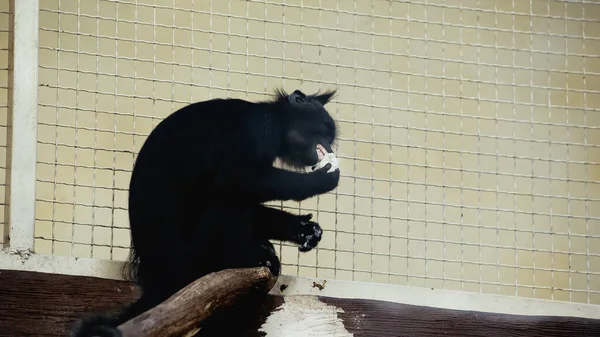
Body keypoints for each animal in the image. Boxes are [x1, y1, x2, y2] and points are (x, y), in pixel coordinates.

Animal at [68, 88, 340, 334]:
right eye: (325, 130)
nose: (328, 146)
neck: (275, 116)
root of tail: (159, 276)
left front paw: (302, 229)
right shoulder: (262, 128)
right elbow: (236, 178)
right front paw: (322, 180)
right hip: (193, 254)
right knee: (224, 197)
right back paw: (246, 256)